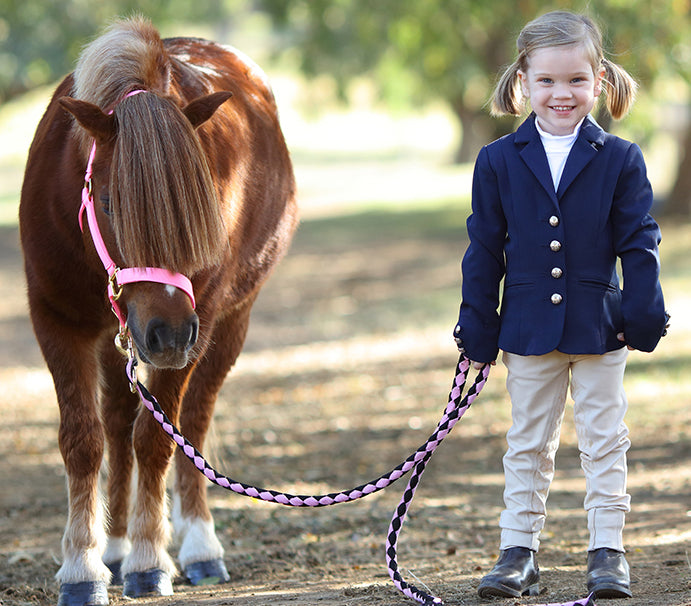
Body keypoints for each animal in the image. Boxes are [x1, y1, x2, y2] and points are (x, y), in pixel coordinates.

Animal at [20, 16, 298, 604]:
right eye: (107, 203)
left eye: (200, 207)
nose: (168, 335)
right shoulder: (57, 320)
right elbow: (83, 440)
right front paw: (83, 566)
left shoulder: (201, 320)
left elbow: (156, 438)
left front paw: (149, 559)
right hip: (120, 337)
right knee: (117, 420)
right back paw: (114, 545)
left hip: (226, 325)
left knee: (192, 421)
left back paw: (197, 548)